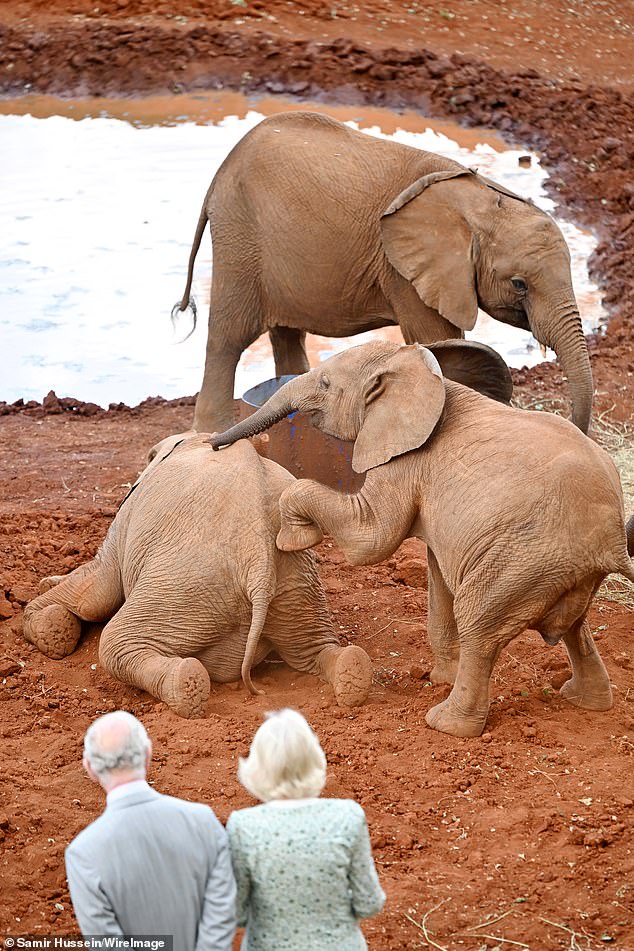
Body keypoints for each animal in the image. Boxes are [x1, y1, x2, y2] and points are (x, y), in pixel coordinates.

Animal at [23, 436, 370, 716]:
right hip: (298, 584)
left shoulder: (125, 521)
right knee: (313, 648)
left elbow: (97, 595)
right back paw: (351, 672)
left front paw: (47, 621)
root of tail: (258, 562)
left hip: (187, 585)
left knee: (115, 642)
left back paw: (187, 684)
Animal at [170, 110, 592, 432]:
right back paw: (209, 433)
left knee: (286, 333)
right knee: (229, 337)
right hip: (239, 237)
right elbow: (435, 338)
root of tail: (221, 172)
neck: (481, 201)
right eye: (519, 284)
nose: (574, 426)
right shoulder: (405, 271)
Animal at [209, 338, 632, 740]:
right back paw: (583, 700)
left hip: (523, 559)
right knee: (575, 625)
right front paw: (441, 677)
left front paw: (292, 540)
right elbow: (435, 572)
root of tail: (610, 541)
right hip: (545, 564)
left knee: (479, 621)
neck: (415, 370)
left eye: (326, 384)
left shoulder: (406, 460)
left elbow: (371, 539)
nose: (215, 443)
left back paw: (446, 724)